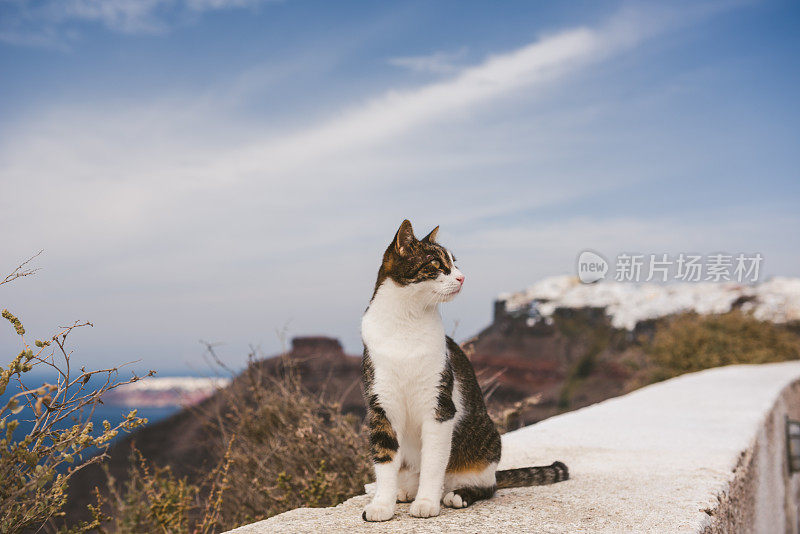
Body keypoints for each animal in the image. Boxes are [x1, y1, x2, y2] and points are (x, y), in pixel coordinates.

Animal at [360, 219, 564, 524]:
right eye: (436, 263)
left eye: (455, 264)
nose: (462, 278)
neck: (406, 323)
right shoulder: (381, 406)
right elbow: (384, 461)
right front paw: (382, 505)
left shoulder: (439, 406)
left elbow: (433, 462)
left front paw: (426, 503)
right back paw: (404, 491)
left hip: (485, 444)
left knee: (488, 486)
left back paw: (457, 494)